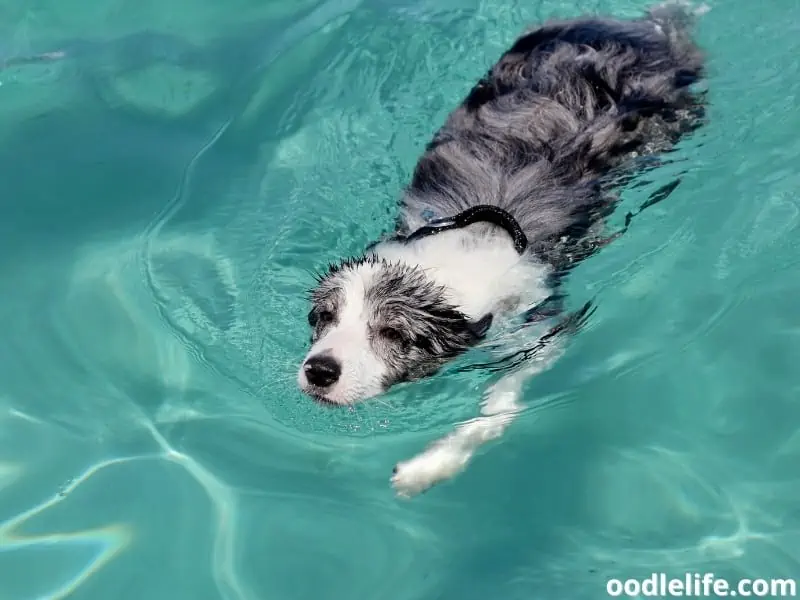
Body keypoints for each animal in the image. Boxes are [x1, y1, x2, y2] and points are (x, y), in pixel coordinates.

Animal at [296, 1, 708, 496]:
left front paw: (430, 465)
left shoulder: (539, 325)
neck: (455, 253)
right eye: (325, 317)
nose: (320, 370)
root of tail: (639, 27)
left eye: (394, 334)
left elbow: (501, 405)